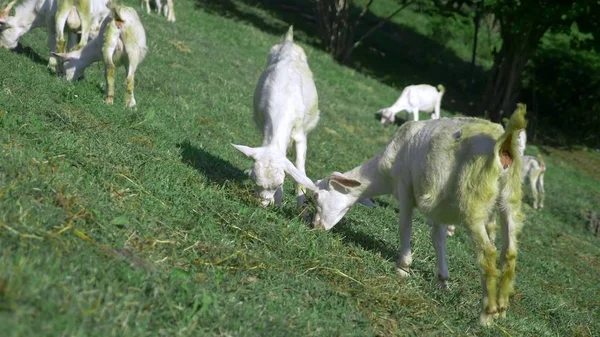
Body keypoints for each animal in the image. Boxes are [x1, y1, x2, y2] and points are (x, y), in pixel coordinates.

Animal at [232, 25, 322, 205]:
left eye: (279, 182)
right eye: (253, 179)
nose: (263, 204)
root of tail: (289, 41)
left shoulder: (300, 135)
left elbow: (300, 171)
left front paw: (300, 203)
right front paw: (278, 200)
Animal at [292, 105, 528, 326]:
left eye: (316, 196)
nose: (315, 226)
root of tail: (503, 142)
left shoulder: (405, 187)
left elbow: (405, 227)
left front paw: (403, 268)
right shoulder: (439, 206)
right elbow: (438, 239)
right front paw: (442, 281)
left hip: (473, 200)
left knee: (488, 252)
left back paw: (487, 315)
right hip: (510, 198)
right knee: (509, 253)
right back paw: (502, 310)